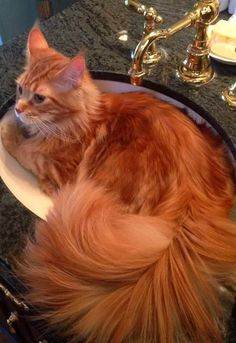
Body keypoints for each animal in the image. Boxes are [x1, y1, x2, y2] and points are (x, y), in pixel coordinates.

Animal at [1, 28, 236, 343]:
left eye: (39, 97)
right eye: (19, 89)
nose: (16, 108)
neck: (77, 119)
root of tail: (190, 206)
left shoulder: (58, 171)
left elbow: (25, 148)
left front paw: (10, 130)